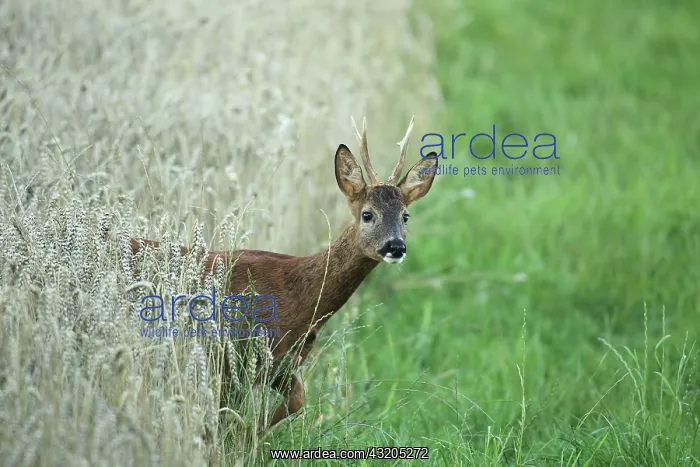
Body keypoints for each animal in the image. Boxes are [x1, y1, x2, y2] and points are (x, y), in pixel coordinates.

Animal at [128, 116, 438, 434]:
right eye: (367, 214)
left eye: (405, 216)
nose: (395, 246)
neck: (301, 299)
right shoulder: (233, 353)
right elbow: (221, 414)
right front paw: (241, 436)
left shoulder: (279, 362)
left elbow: (297, 397)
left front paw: (251, 434)